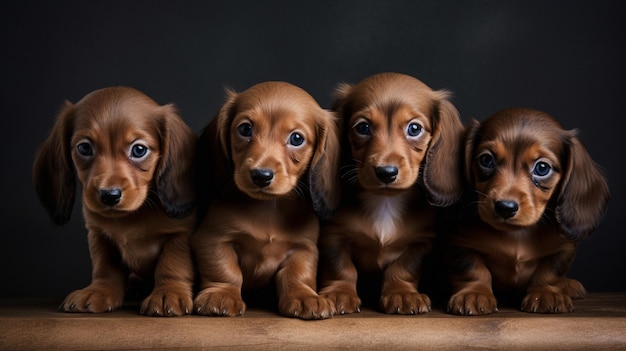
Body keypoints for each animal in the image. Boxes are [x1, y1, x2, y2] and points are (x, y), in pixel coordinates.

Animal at [31, 87, 196, 316]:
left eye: (139, 150)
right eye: (84, 148)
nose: (109, 195)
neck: (131, 217)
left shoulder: (181, 232)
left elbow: (172, 262)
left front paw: (167, 293)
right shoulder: (98, 234)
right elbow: (105, 267)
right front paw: (98, 291)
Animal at [193, 81, 338, 320]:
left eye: (297, 139)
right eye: (245, 129)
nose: (261, 175)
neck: (268, 209)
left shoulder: (303, 248)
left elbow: (298, 273)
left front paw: (304, 296)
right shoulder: (212, 238)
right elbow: (225, 270)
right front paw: (221, 294)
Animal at [316, 73, 464, 314]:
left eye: (414, 129)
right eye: (363, 127)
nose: (386, 172)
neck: (385, 201)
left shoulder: (420, 241)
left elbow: (403, 268)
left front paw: (402, 294)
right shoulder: (333, 234)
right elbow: (341, 267)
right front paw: (339, 293)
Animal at [446, 108, 608, 316]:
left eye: (542, 168)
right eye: (486, 159)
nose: (505, 207)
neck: (517, 234)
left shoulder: (564, 248)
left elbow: (549, 273)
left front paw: (546, 294)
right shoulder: (460, 243)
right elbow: (473, 269)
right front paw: (474, 293)